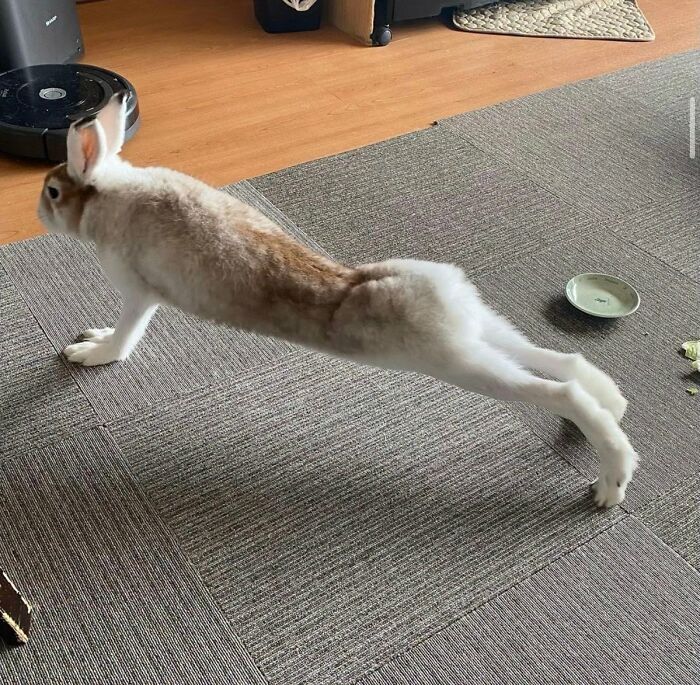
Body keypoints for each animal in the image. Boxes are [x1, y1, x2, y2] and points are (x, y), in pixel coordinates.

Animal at [37, 93, 637, 508]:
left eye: (53, 191)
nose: (38, 211)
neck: (107, 193)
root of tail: (441, 291)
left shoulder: (138, 292)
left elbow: (125, 336)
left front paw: (88, 352)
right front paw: (87, 342)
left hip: (453, 361)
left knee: (560, 393)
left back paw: (612, 479)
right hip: (478, 333)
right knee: (563, 360)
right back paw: (613, 402)